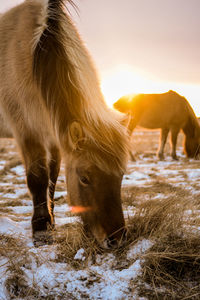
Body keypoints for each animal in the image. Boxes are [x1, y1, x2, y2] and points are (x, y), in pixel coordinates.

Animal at [0, 0, 129, 248]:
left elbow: (52, 177)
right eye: (85, 178)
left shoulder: (55, 136)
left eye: (120, 176)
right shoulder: (27, 132)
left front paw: (51, 222)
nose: (116, 240)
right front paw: (41, 229)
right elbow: (38, 178)